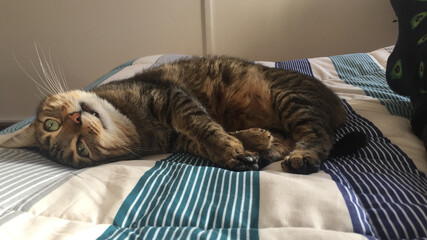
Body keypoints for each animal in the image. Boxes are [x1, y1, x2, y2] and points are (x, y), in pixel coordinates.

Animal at [0, 55, 368, 173]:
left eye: (51, 123)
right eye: (81, 149)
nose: (76, 119)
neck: (133, 124)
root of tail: (336, 103)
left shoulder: (171, 98)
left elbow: (204, 125)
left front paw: (234, 145)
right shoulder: (178, 138)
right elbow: (208, 138)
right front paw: (244, 145)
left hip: (290, 97)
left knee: (316, 136)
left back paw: (302, 155)